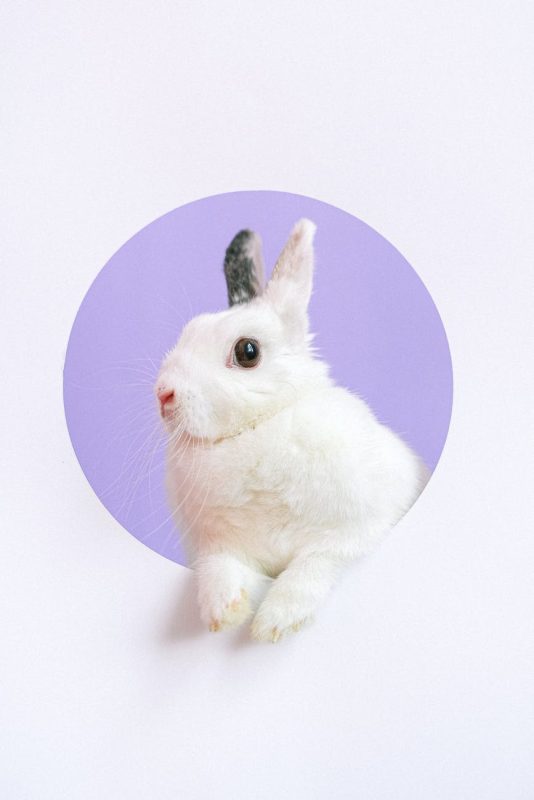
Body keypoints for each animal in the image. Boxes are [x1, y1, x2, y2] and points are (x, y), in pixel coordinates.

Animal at [155, 219, 429, 642]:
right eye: (189, 332)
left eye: (247, 352)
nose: (163, 394)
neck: (258, 428)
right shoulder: (216, 545)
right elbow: (220, 569)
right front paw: (223, 612)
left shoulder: (357, 531)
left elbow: (312, 567)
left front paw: (275, 622)